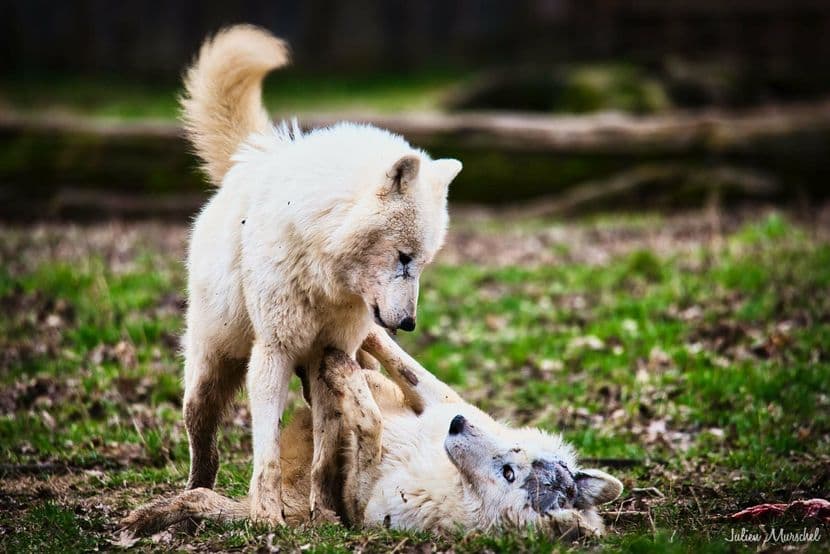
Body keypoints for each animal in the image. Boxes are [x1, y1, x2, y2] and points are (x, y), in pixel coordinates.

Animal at [122, 331, 623, 538]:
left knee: (203, 499)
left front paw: (338, 366)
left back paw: (145, 517)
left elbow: (368, 420)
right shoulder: (437, 400)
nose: (458, 426)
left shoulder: (359, 501)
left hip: (281, 513)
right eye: (511, 457)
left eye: (509, 475)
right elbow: (399, 361)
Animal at [179, 24, 463, 524]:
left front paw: (325, 513)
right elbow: (268, 453)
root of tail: (254, 156)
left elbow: (326, 451)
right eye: (403, 257)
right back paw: (195, 490)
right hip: (212, 365)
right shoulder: (273, 351)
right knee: (201, 433)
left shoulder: (331, 352)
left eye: (422, 263)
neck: (322, 273)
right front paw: (267, 515)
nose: (409, 323)